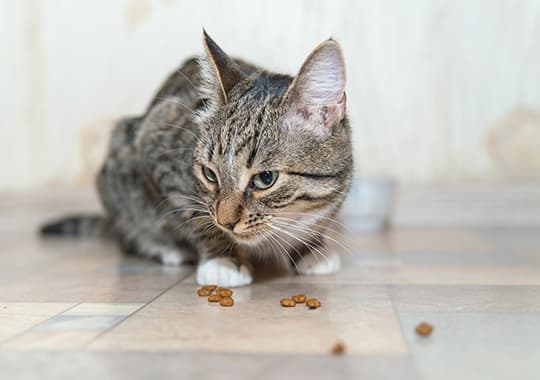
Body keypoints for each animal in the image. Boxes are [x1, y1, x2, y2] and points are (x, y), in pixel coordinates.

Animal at [42, 31, 354, 286]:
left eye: (266, 179)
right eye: (210, 175)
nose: (226, 222)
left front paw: (311, 249)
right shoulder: (159, 140)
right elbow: (194, 214)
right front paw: (222, 260)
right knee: (129, 231)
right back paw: (167, 248)